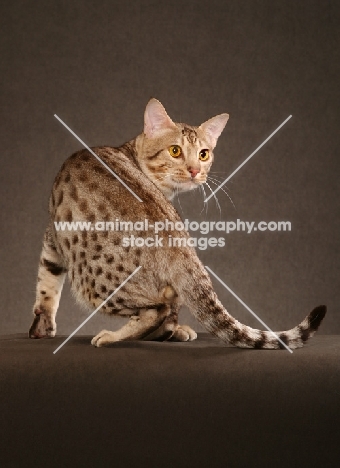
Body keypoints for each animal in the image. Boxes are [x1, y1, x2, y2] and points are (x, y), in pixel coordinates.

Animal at [29, 98, 326, 348]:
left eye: (204, 154)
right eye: (175, 151)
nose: (195, 170)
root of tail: (179, 246)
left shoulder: (53, 236)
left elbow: (46, 281)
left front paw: (42, 325)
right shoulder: (53, 236)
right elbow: (47, 281)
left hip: (91, 279)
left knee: (155, 309)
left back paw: (111, 337)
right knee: (168, 306)